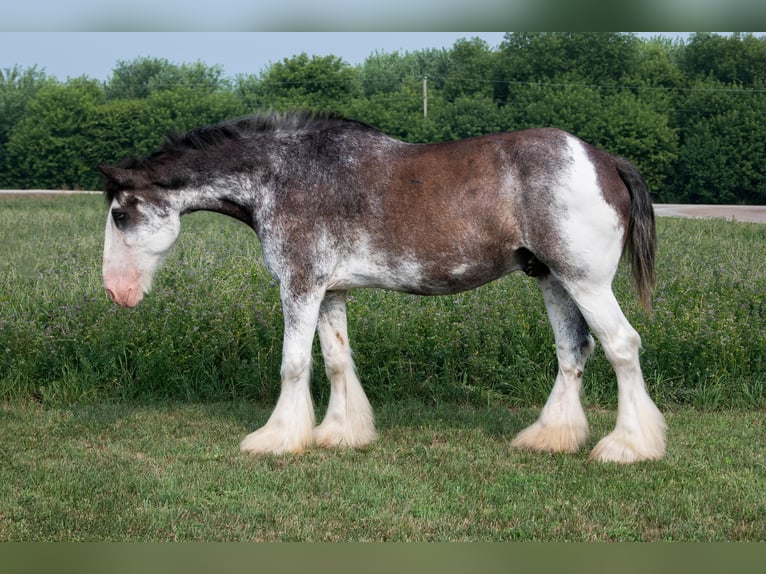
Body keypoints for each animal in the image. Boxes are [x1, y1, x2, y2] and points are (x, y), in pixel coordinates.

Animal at [100, 110, 664, 466]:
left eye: (121, 214)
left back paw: (629, 447)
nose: (114, 292)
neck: (282, 174)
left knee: (621, 346)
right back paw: (551, 438)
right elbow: (336, 360)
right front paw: (339, 433)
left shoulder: (299, 286)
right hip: (553, 280)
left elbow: (294, 364)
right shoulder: (329, 292)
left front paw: (276, 439)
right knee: (573, 351)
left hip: (585, 282)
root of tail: (604, 160)